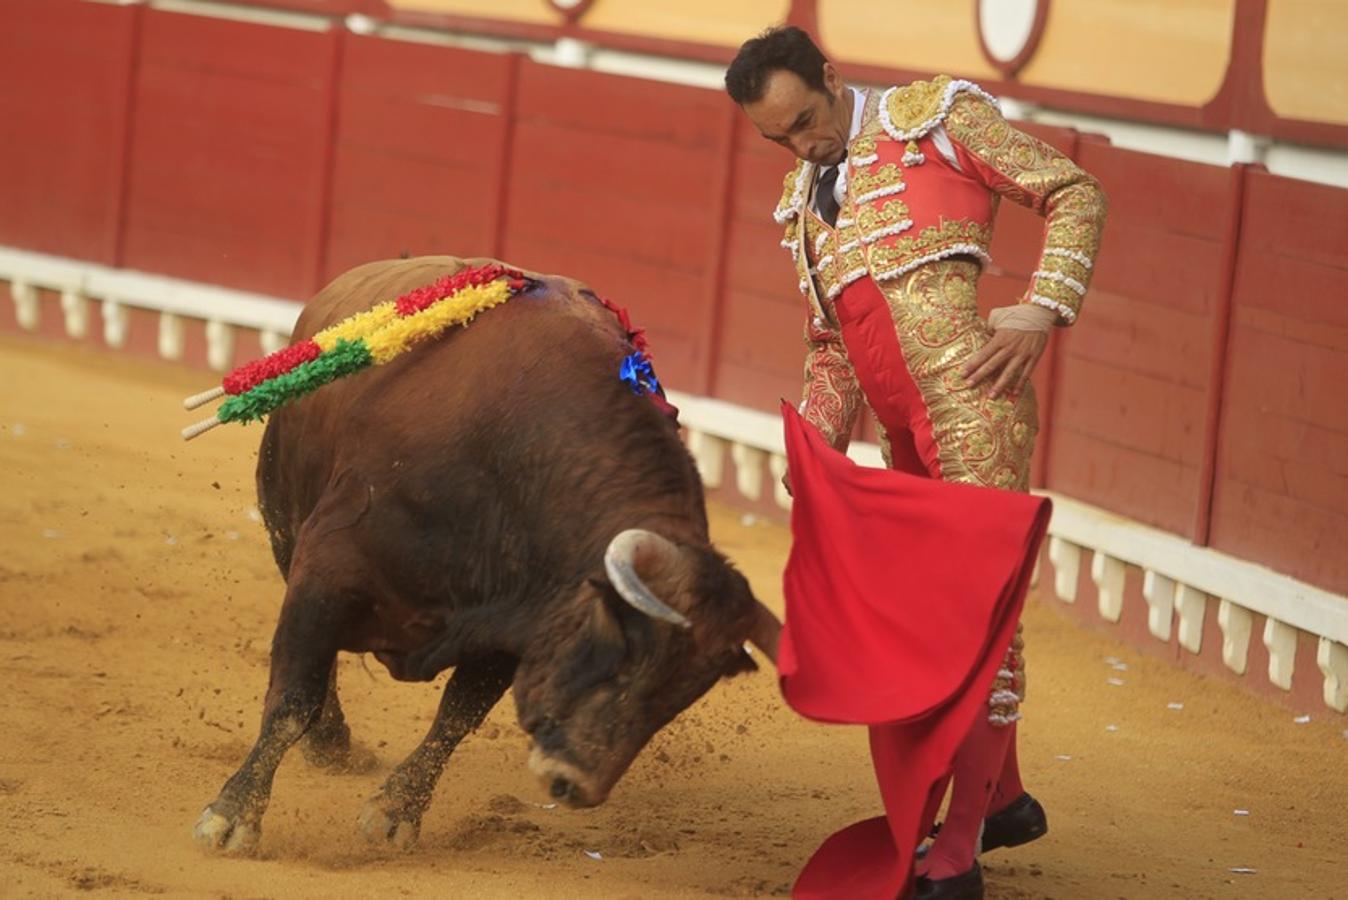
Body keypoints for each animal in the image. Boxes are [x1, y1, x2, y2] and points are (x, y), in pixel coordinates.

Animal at [190, 255, 781, 856]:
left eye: (681, 697)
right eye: (622, 654)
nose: (574, 785)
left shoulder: (515, 624)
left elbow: (455, 717)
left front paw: (396, 812)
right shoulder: (327, 567)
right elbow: (294, 695)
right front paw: (232, 817)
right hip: (283, 526)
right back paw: (329, 744)